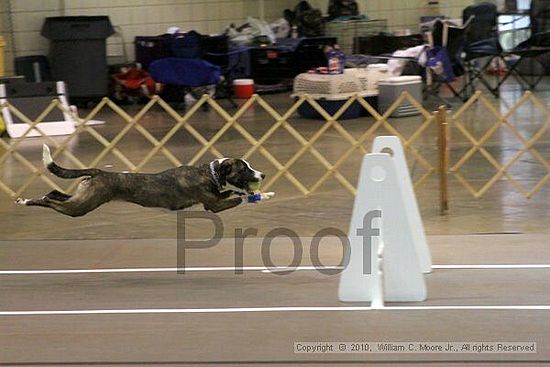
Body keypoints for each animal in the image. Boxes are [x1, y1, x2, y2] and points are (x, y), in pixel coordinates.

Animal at [14, 145, 268, 217]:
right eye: (244, 168)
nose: (263, 175)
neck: (210, 173)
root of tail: (99, 172)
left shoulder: (216, 197)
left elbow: (232, 193)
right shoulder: (214, 205)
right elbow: (236, 197)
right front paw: (254, 196)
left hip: (81, 196)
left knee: (54, 193)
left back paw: (29, 199)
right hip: (81, 206)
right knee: (52, 201)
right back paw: (26, 202)